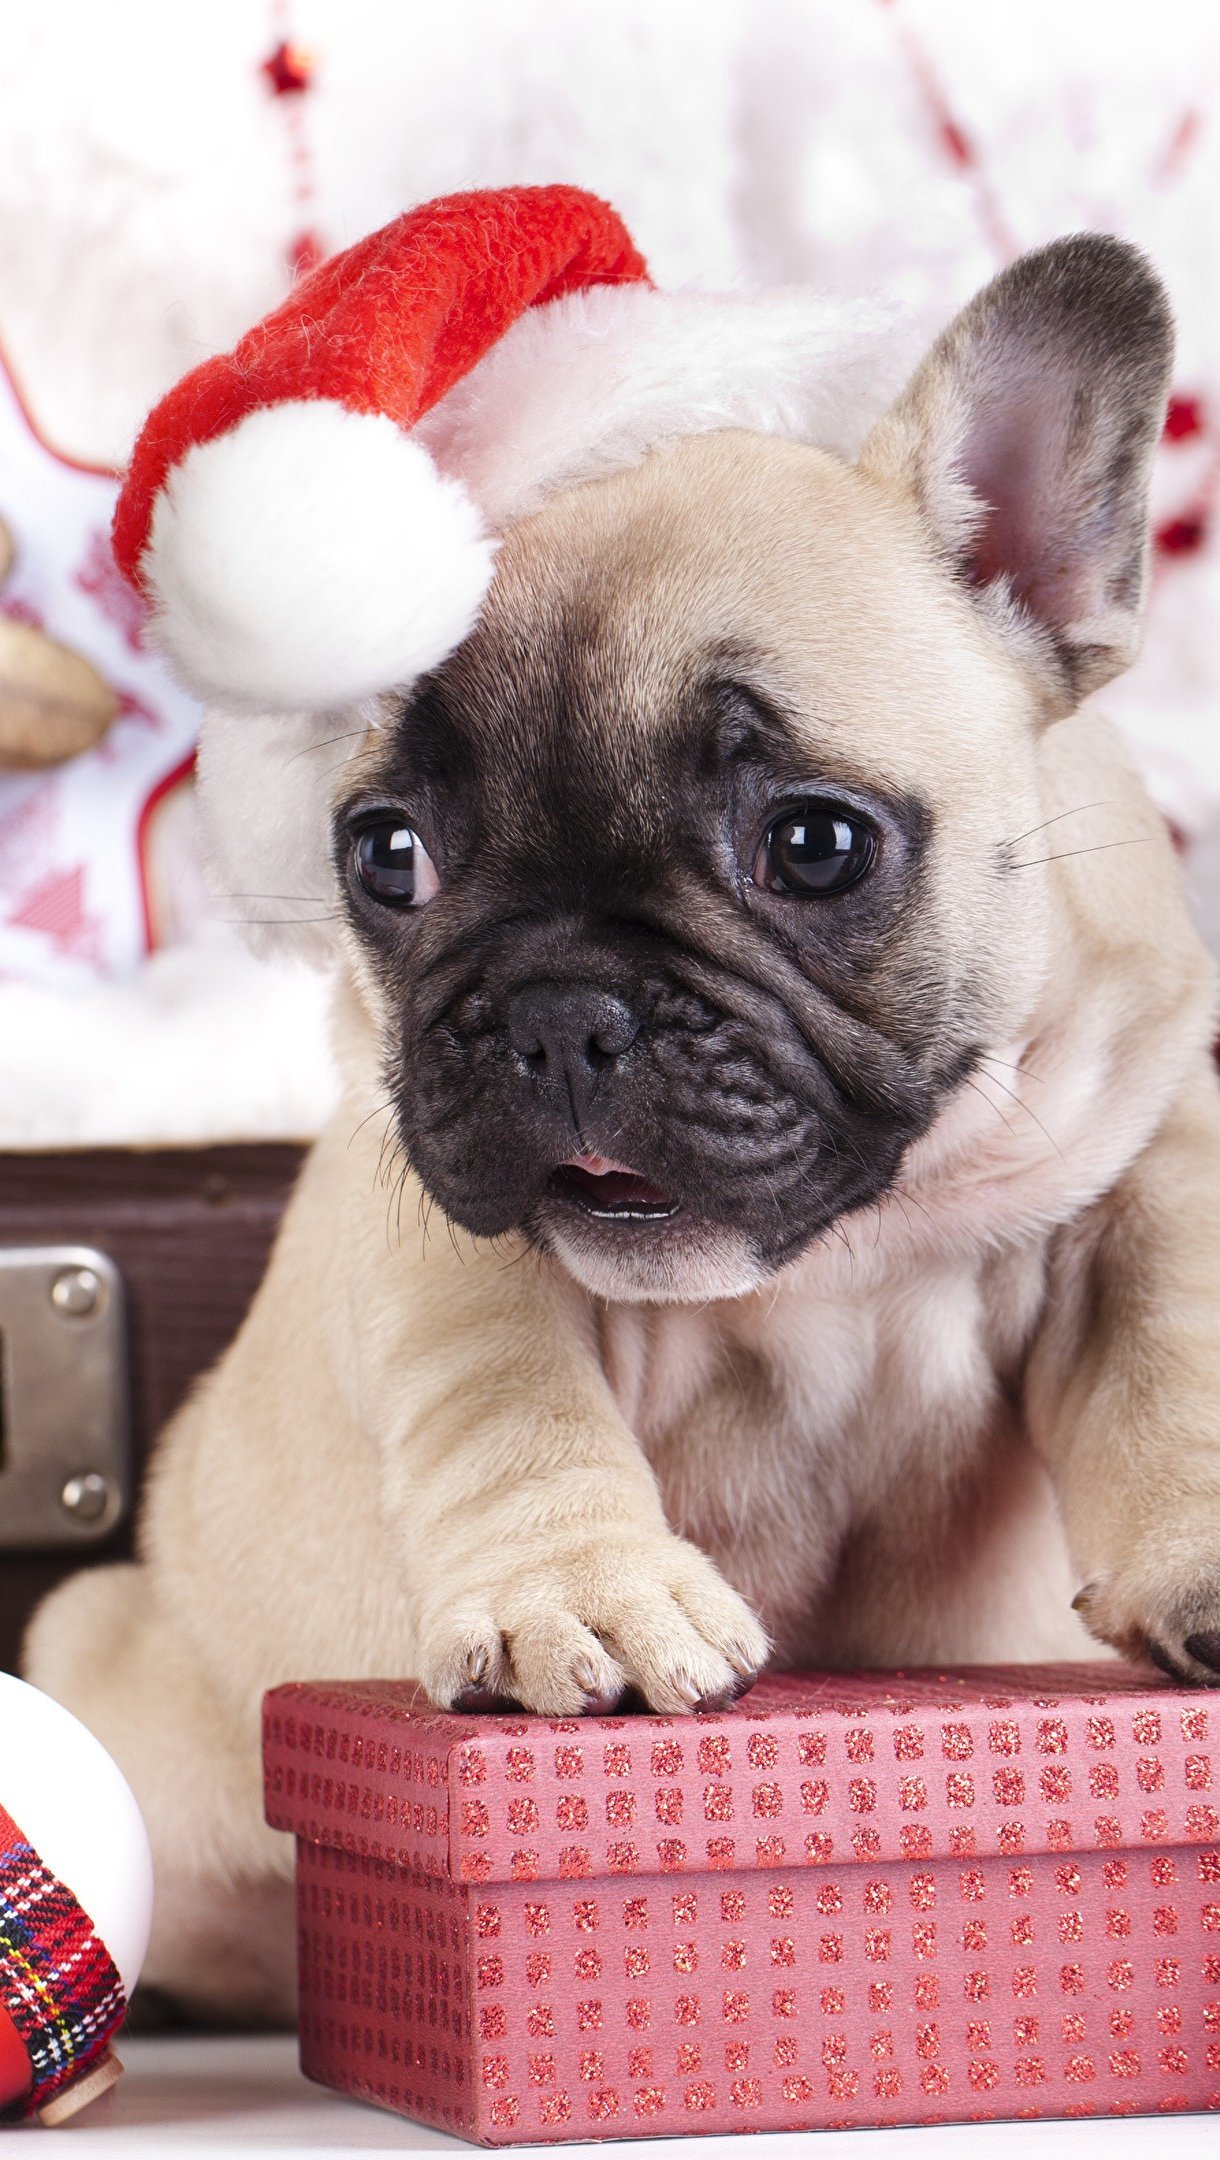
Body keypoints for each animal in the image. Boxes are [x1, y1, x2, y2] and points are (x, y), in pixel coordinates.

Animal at [23, 240, 1217, 2021]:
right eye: (385, 854)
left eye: (813, 843)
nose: (555, 1009)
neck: (847, 1250)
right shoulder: (447, 1241)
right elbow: (514, 1414)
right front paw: (575, 1595)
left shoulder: (1143, 1169)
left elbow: (1169, 1364)